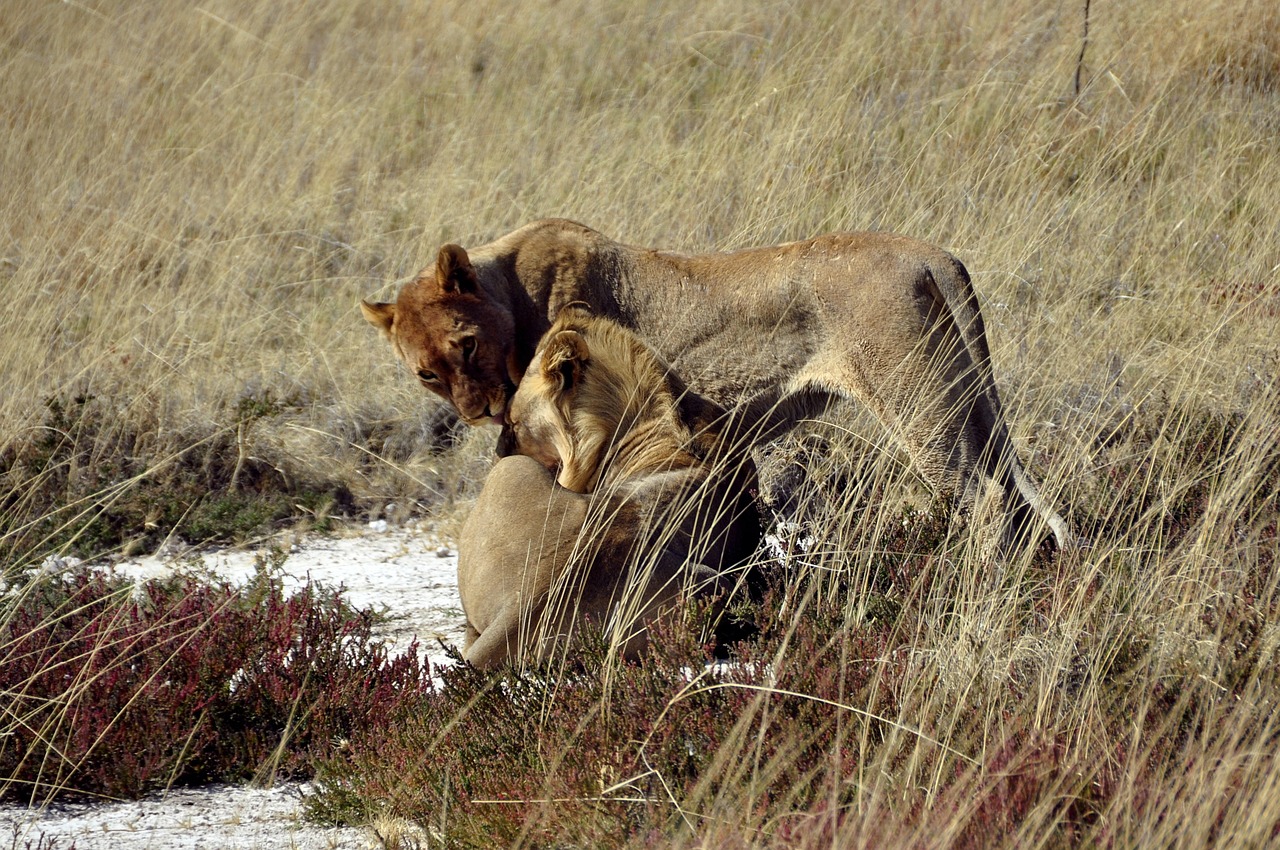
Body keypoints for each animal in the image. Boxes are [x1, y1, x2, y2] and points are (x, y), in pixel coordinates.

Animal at [366, 218, 1075, 550]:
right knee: (1011, 493)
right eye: (426, 372)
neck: (512, 293)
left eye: (465, 344)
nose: (479, 409)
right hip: (964, 400)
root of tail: (932, 253)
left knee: (985, 499)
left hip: (917, 402)